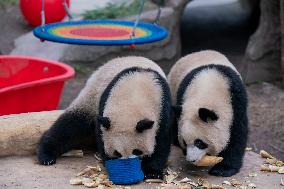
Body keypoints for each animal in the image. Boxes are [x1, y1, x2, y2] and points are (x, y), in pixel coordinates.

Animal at [37, 56, 172, 179]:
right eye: (117, 153)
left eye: (137, 151)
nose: (127, 165)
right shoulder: (104, 101)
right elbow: (100, 136)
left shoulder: (162, 108)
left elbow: (161, 142)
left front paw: (152, 172)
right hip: (91, 97)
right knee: (71, 125)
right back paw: (46, 155)